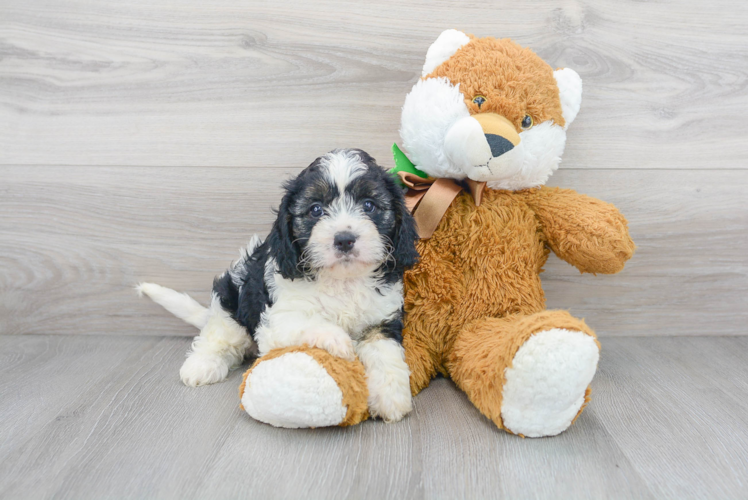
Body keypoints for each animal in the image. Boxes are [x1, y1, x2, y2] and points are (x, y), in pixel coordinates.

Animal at [139, 148, 420, 422]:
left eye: (369, 205)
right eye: (315, 209)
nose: (344, 239)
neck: (341, 280)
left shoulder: (382, 318)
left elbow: (385, 351)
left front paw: (391, 397)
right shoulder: (276, 319)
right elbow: (309, 323)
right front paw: (338, 340)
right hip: (231, 297)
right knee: (218, 335)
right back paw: (202, 365)